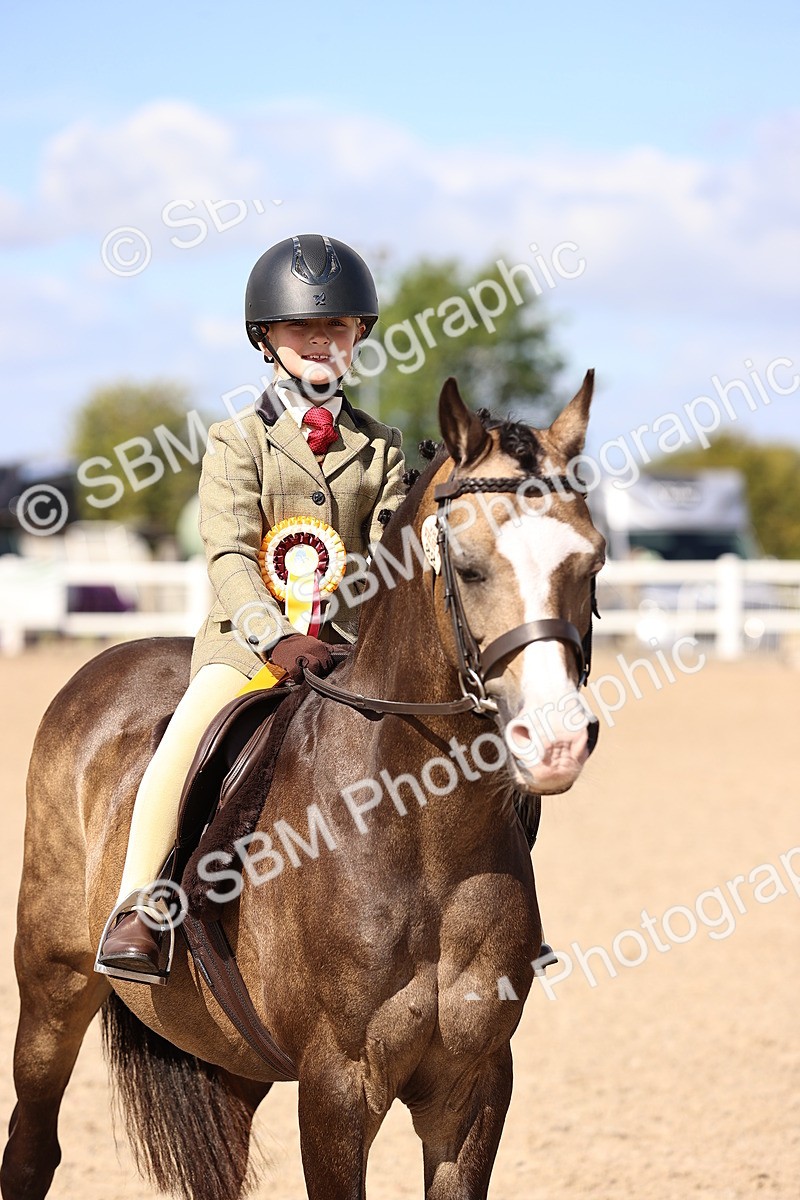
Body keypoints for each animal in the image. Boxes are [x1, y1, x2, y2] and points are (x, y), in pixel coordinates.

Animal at [2, 373, 605, 1200]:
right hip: (52, 988)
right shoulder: (336, 1087)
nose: (556, 742)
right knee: (32, 1144)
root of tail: (103, 663)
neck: (424, 838)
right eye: (470, 565)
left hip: (228, 1058)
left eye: (593, 564)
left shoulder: (474, 1087)